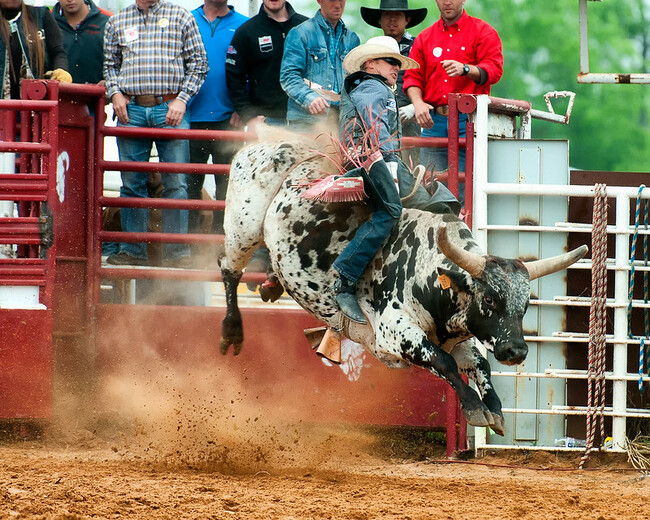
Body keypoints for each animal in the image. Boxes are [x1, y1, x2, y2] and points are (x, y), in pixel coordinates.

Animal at [219, 131, 588, 434]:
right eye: (489, 299)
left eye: (525, 304)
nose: (516, 350)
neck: (427, 269)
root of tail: (268, 146)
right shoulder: (394, 330)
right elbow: (443, 363)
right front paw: (474, 408)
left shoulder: (455, 337)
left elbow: (478, 362)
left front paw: (494, 409)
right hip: (243, 226)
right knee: (228, 267)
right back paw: (231, 330)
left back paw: (270, 285)